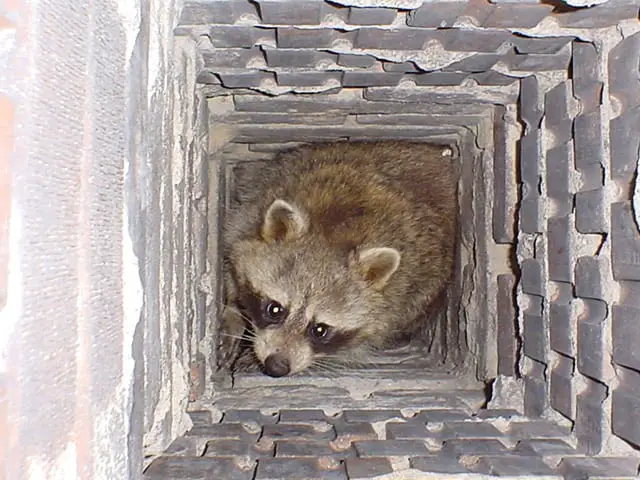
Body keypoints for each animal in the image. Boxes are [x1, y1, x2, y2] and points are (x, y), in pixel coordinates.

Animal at [221, 141, 460, 376]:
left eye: (320, 330)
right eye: (275, 309)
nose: (276, 366)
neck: (336, 232)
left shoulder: (392, 309)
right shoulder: (251, 209)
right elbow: (233, 253)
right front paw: (233, 311)